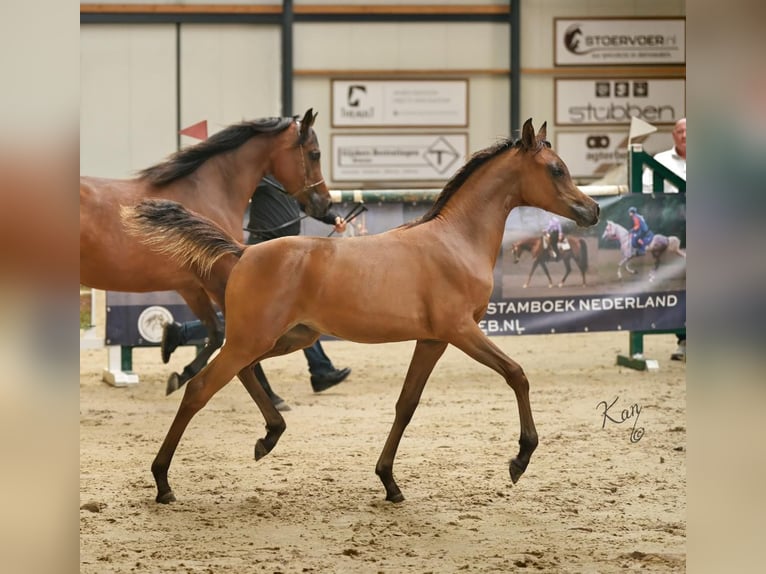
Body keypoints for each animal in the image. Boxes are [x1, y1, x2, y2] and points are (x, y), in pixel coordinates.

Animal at [80, 108, 332, 394]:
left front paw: (179, 372)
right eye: (314, 153)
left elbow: (215, 332)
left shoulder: (192, 286)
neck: (209, 193)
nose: (325, 204)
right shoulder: (217, 281)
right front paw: (268, 394)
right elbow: (234, 340)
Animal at [122, 119, 600, 505]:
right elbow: (517, 374)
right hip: (254, 338)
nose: (592, 210)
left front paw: (389, 482)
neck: (455, 242)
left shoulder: (432, 339)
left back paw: (268, 436)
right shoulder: (461, 331)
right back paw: (163, 482)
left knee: (243, 372)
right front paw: (520, 458)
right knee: (200, 388)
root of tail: (243, 252)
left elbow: (406, 404)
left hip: (288, 337)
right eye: (556, 169)